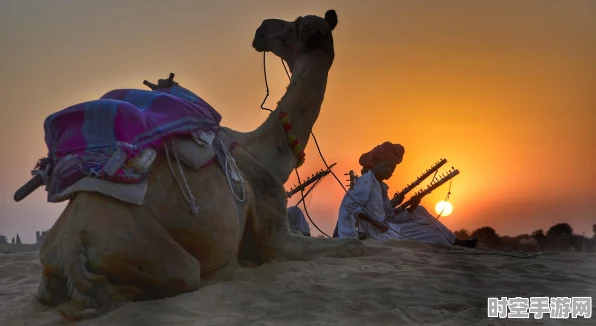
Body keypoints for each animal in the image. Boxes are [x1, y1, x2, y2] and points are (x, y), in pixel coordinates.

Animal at [36, 9, 368, 318]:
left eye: (294, 24)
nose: (262, 28)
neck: (266, 152)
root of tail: (71, 242)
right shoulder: (275, 234)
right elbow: (354, 245)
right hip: (156, 254)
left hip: (53, 258)